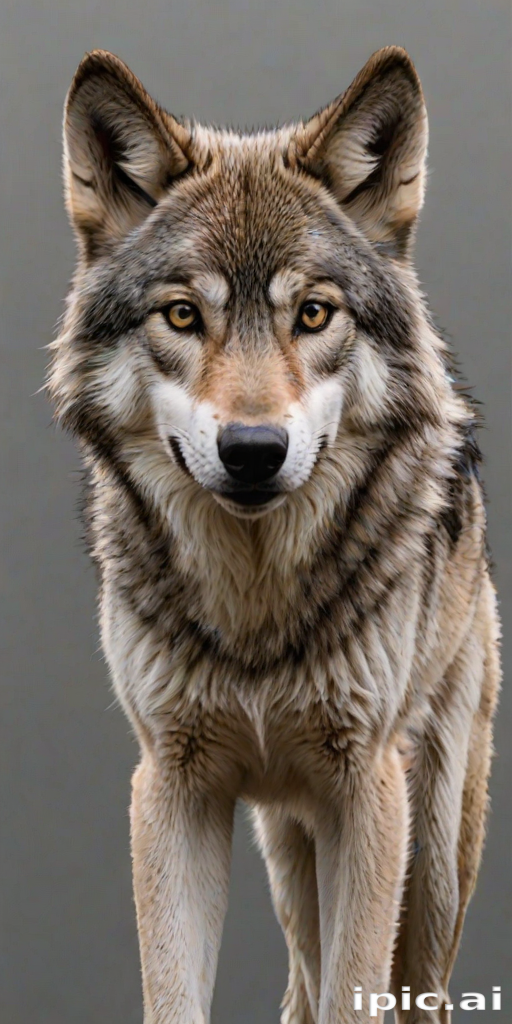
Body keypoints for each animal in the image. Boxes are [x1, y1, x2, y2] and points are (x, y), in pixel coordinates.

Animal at [48, 45, 501, 1024]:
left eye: (314, 314)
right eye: (183, 315)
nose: (253, 451)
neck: (255, 609)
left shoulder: (368, 792)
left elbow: (356, 996)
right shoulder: (171, 787)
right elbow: (176, 996)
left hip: (434, 853)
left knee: (421, 985)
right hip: (290, 849)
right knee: (298, 983)